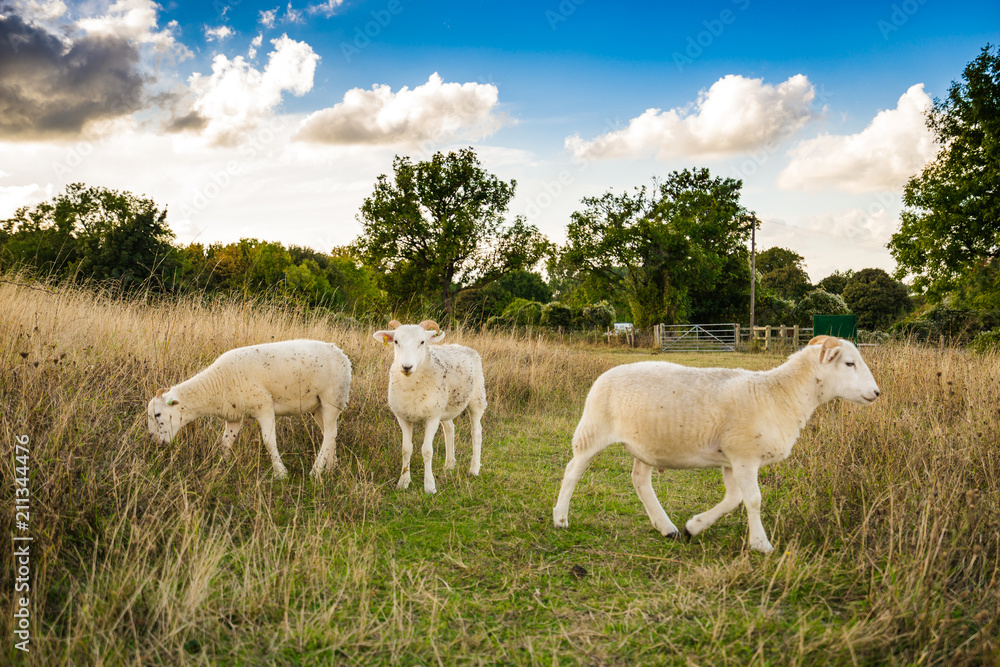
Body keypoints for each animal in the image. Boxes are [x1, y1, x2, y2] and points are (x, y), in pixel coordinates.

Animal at [147, 339, 352, 479]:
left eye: (157, 414)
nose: (157, 443)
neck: (216, 385)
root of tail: (343, 355)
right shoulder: (233, 416)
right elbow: (226, 442)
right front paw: (224, 466)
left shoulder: (264, 407)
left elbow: (269, 441)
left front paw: (280, 473)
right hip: (318, 406)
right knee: (329, 433)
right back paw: (331, 467)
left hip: (332, 398)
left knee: (330, 433)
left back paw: (316, 471)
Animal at [372, 320, 487, 494]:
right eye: (396, 341)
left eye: (422, 342)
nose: (406, 367)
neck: (412, 388)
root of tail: (464, 347)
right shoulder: (403, 418)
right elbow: (406, 449)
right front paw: (403, 482)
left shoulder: (432, 417)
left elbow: (427, 450)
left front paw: (429, 485)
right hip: (443, 407)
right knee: (450, 429)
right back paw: (449, 464)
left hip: (477, 399)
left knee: (477, 433)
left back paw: (474, 469)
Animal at [552, 335, 880, 553]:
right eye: (849, 363)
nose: (877, 393)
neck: (779, 393)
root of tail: (605, 375)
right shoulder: (745, 456)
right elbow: (753, 500)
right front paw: (761, 544)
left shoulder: (733, 459)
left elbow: (734, 499)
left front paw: (693, 527)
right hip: (593, 429)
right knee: (572, 471)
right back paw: (560, 518)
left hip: (643, 445)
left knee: (640, 480)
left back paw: (667, 528)